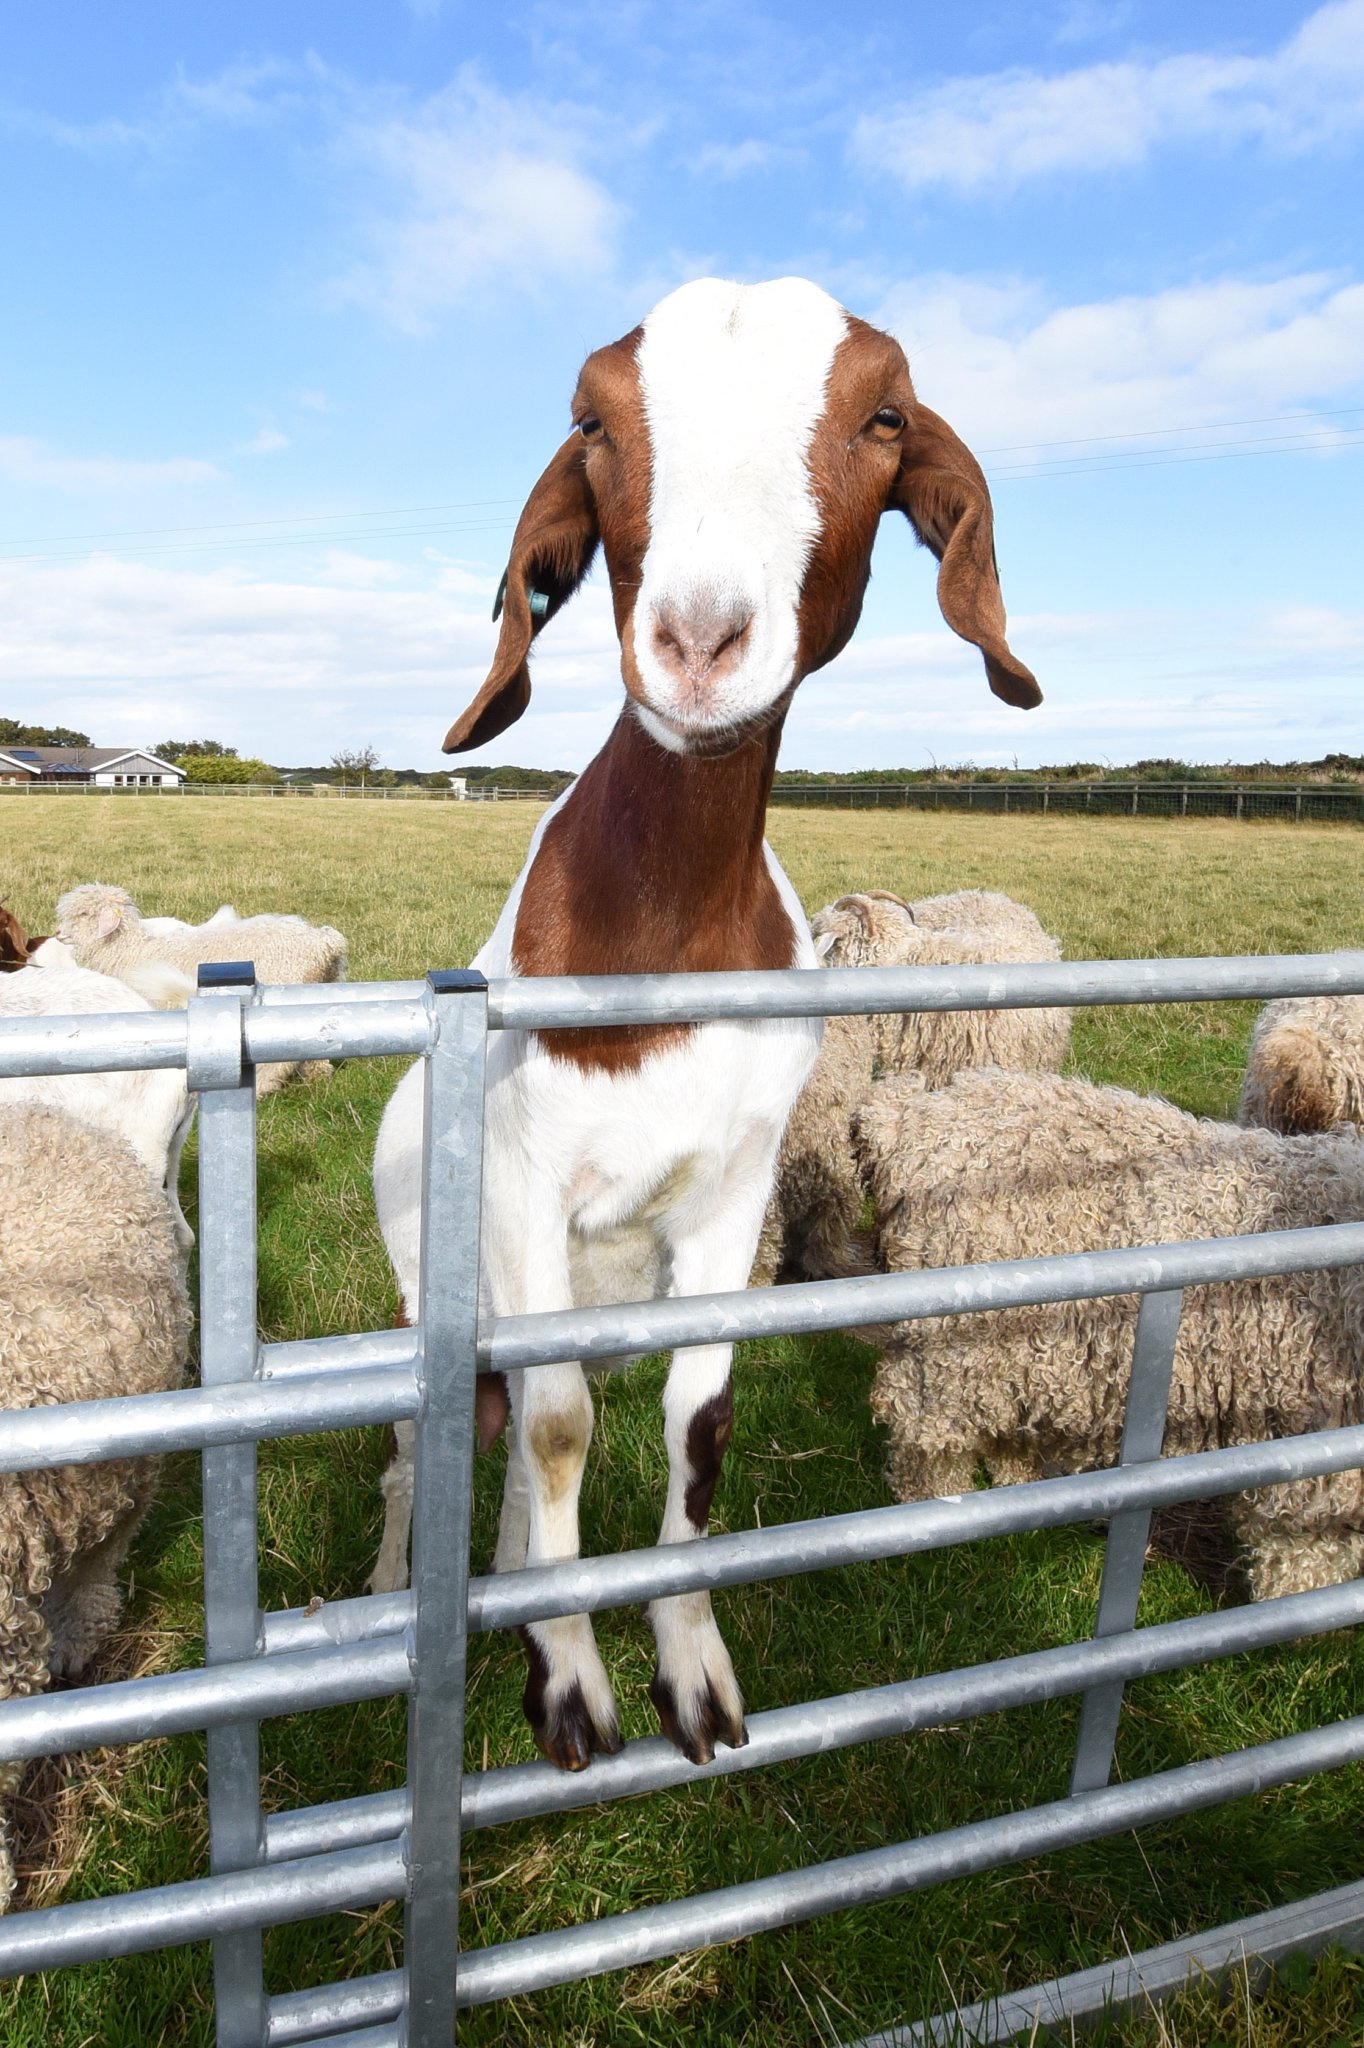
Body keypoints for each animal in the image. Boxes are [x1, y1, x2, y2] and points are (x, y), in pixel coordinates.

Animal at [372, 275, 1040, 1771]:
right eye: (590, 423)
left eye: (884, 419)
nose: (694, 644)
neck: (665, 933)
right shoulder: (520, 1183)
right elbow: (560, 1426)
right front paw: (571, 1683)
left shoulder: (737, 1192)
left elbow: (698, 1421)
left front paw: (685, 1669)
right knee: (429, 1447)